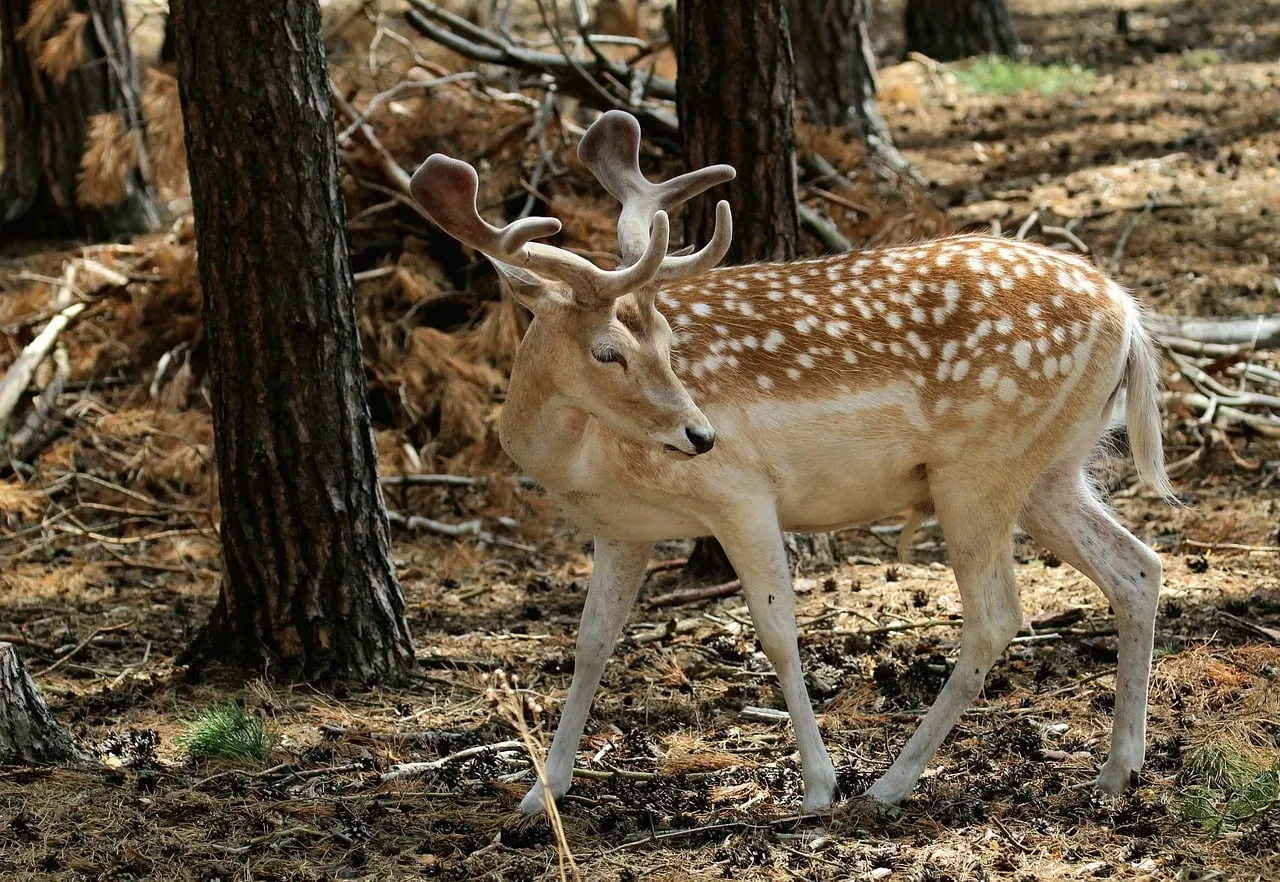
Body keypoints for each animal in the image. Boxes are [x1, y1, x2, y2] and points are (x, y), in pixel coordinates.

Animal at [407, 109, 1173, 815]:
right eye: (608, 351)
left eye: (665, 339)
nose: (699, 434)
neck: (583, 461)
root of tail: (1130, 316)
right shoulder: (622, 528)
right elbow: (592, 642)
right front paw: (542, 794)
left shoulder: (740, 493)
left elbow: (777, 633)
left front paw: (817, 786)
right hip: (1051, 469)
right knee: (1138, 568)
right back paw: (1118, 769)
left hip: (979, 468)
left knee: (997, 616)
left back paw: (888, 785)